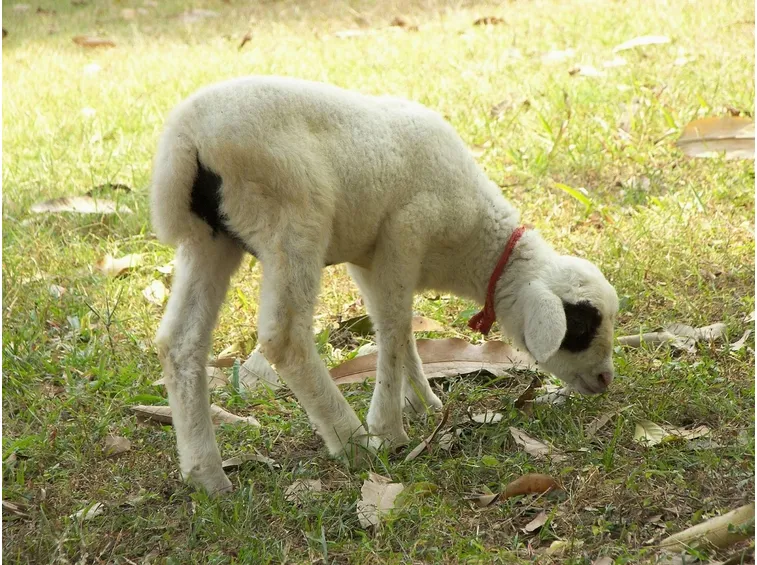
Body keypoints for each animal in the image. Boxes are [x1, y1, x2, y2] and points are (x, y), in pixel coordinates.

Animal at [150, 76, 619, 495]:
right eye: (580, 326)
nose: (604, 380)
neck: (472, 242)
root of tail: (187, 136)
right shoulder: (404, 230)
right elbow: (393, 329)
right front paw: (390, 428)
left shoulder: (369, 257)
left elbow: (398, 324)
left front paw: (424, 405)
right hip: (292, 216)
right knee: (284, 339)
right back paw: (352, 440)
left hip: (208, 239)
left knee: (180, 343)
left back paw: (206, 475)